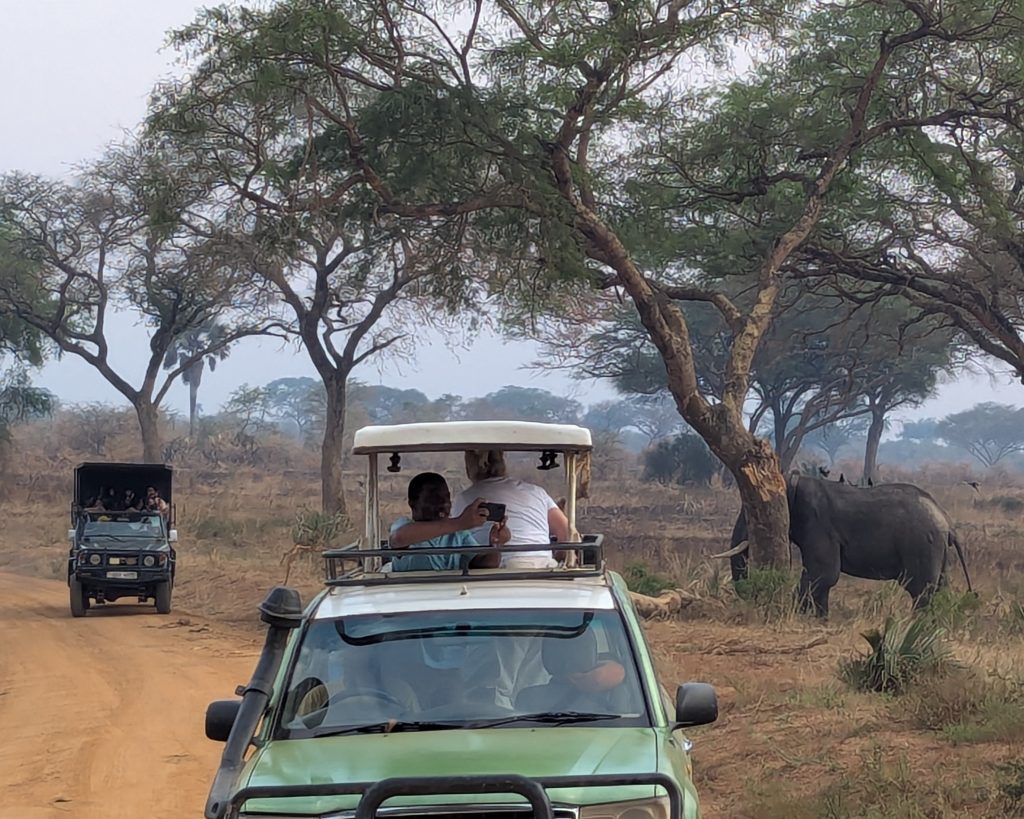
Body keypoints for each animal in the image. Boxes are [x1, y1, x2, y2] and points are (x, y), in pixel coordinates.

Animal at [710, 474, 972, 618]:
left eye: (755, 509)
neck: (793, 481)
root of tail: (948, 522)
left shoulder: (820, 524)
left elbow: (824, 574)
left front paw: (800, 615)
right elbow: (823, 578)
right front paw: (819, 620)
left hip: (921, 544)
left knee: (921, 589)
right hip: (936, 549)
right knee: (939, 587)